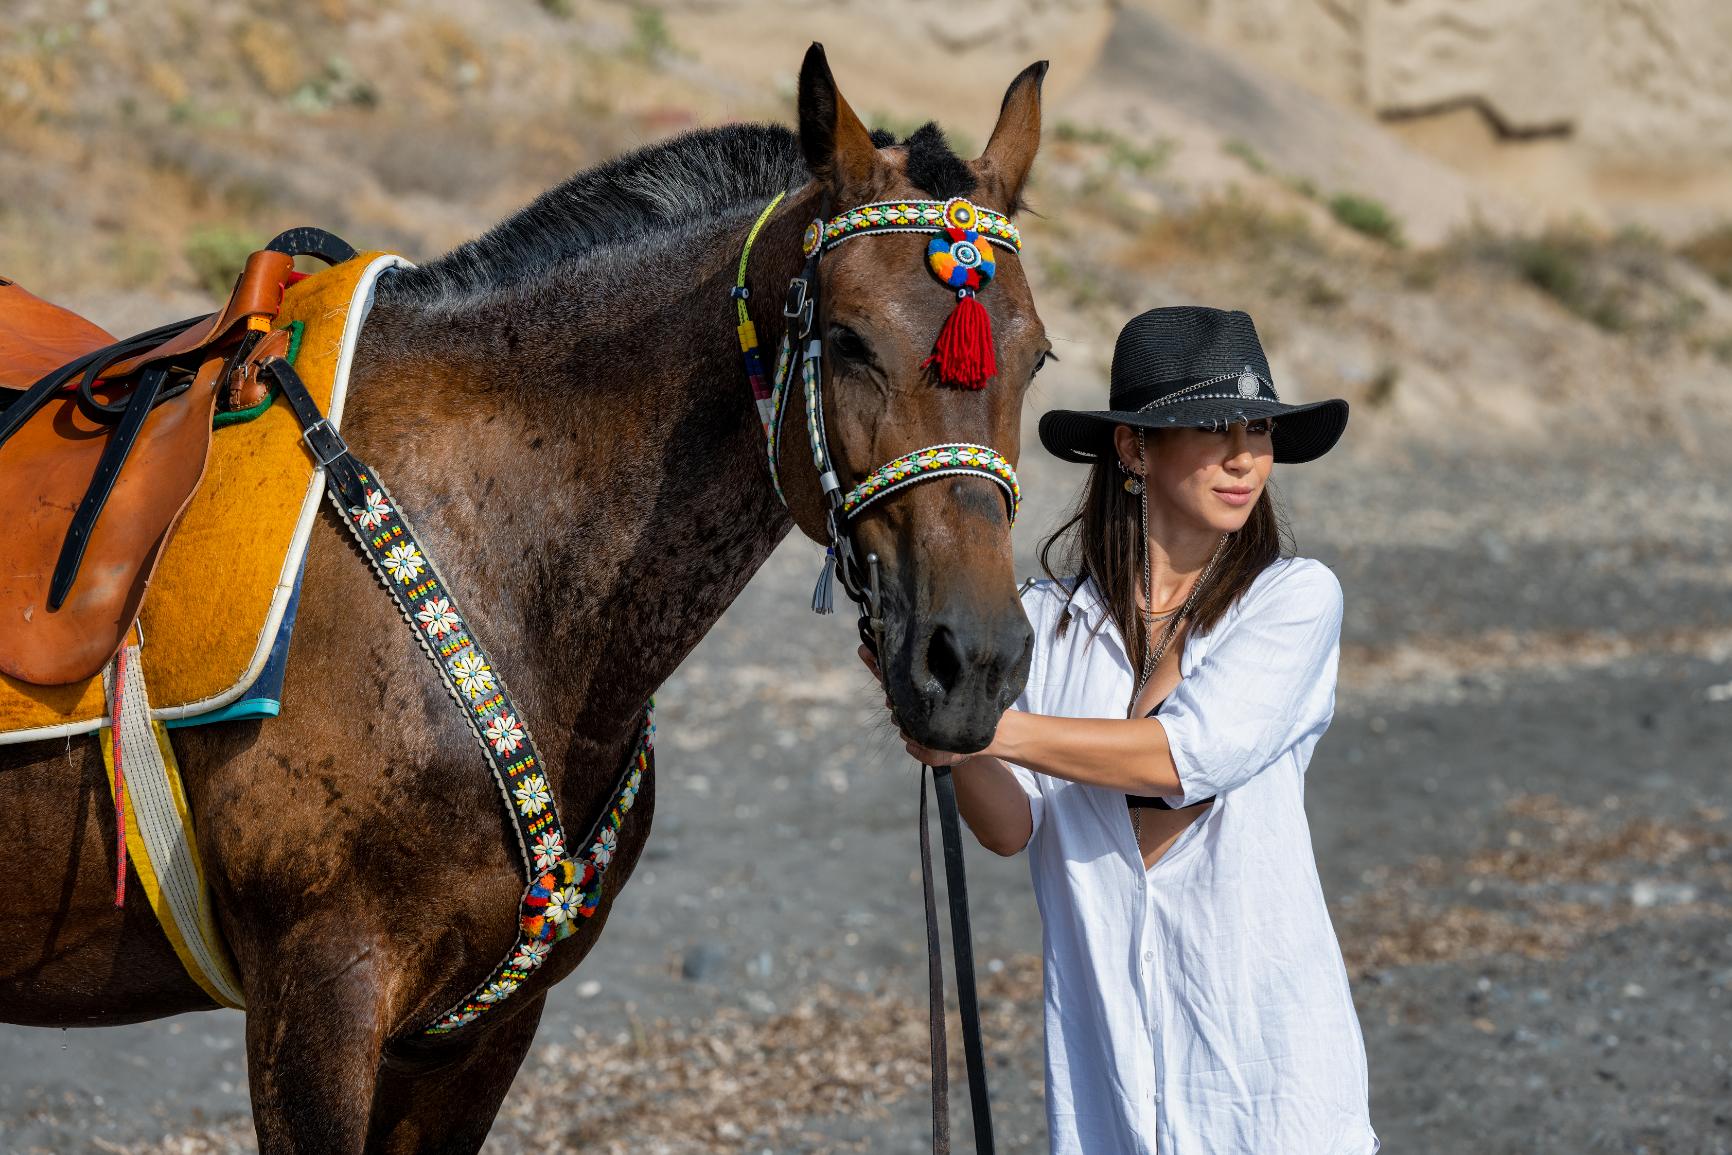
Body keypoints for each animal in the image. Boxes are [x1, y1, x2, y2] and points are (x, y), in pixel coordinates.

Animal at [0, 44, 1049, 1152]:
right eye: (847, 340)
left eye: (1037, 358)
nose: (973, 663)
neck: (490, 549)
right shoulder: (318, 999)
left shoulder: (479, 1029)